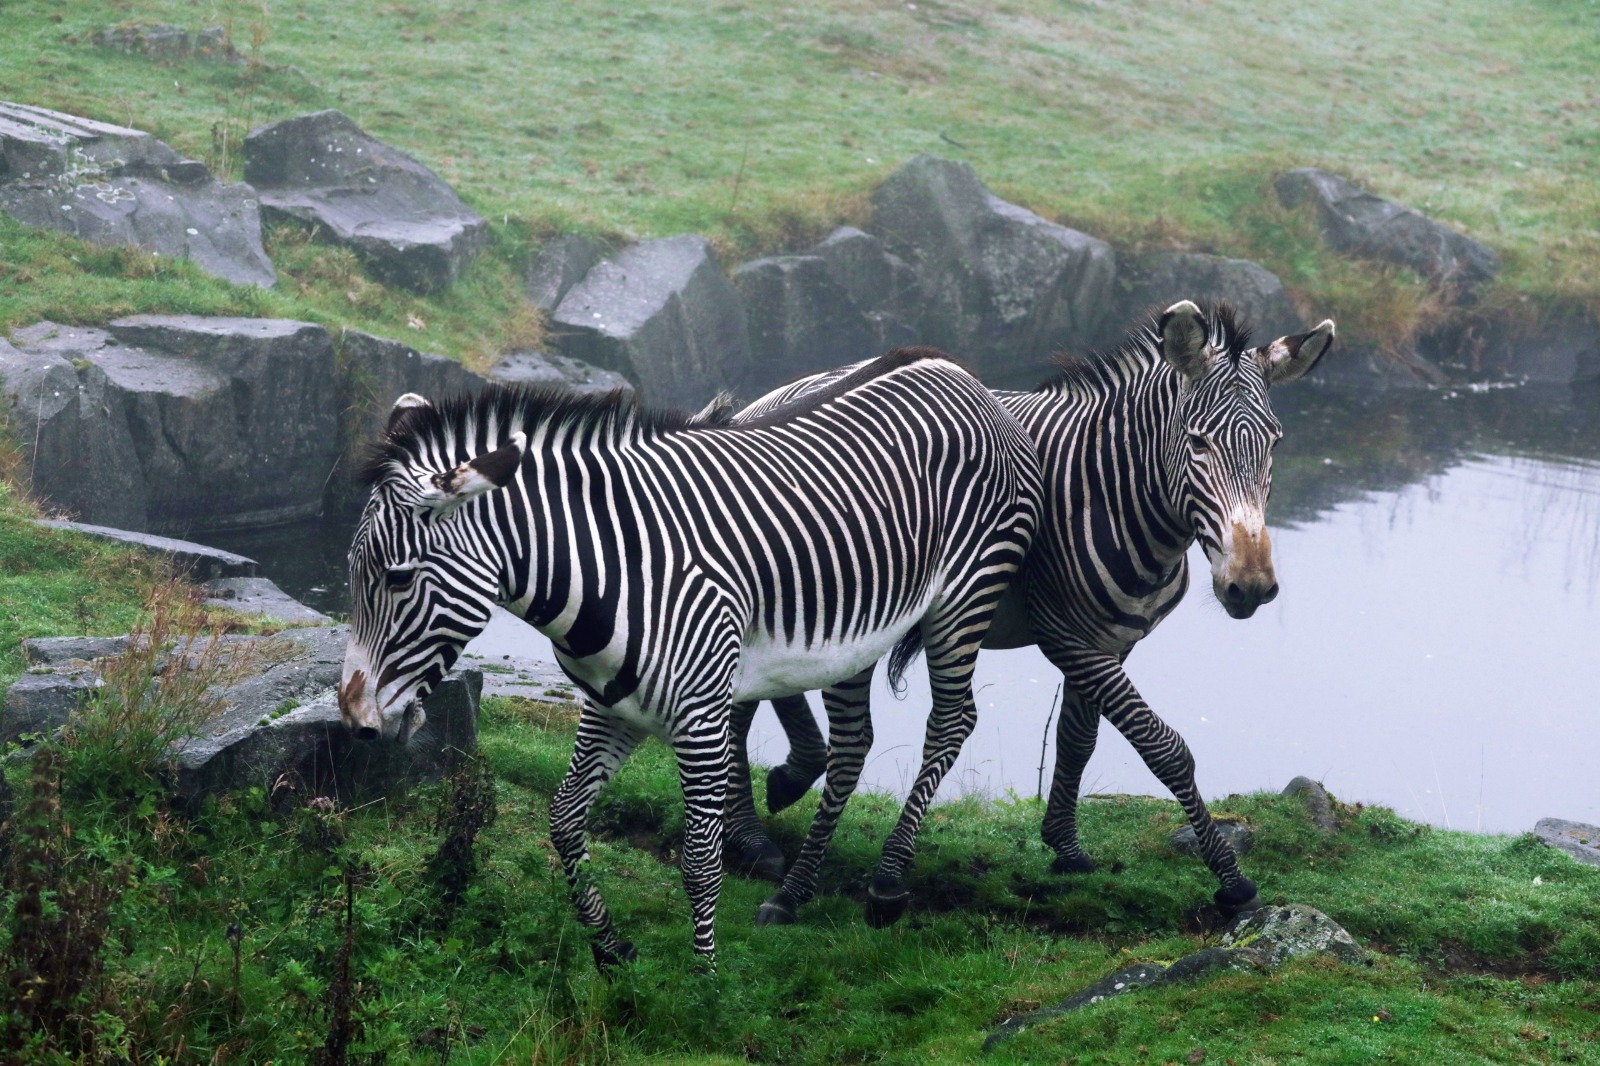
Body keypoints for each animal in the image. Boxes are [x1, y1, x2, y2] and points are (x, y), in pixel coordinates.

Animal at [338, 348, 1042, 966]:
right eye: (352, 569)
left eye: (398, 579)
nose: (354, 721)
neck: (612, 566)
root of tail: (958, 372)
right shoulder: (610, 705)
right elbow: (564, 820)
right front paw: (612, 951)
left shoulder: (701, 717)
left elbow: (700, 861)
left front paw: (704, 990)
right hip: (859, 631)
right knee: (852, 744)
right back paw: (793, 894)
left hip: (967, 595)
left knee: (951, 721)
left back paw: (888, 884)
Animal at [718, 301, 1335, 922]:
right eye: (1198, 442)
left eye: (1275, 444)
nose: (1250, 587)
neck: (1112, 493)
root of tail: (767, 398)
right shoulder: (1066, 634)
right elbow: (1162, 745)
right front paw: (1231, 879)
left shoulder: (1112, 640)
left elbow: (1078, 737)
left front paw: (1066, 846)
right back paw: (761, 829)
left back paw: (765, 813)